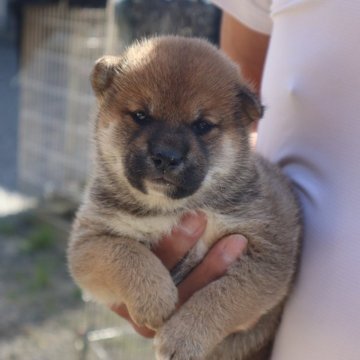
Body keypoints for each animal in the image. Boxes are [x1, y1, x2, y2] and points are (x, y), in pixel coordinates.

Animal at [67, 36, 300, 360]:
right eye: (141, 116)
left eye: (201, 125)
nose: (166, 156)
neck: (170, 208)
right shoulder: (88, 243)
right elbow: (126, 255)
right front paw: (156, 298)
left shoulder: (268, 254)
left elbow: (223, 296)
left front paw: (183, 338)